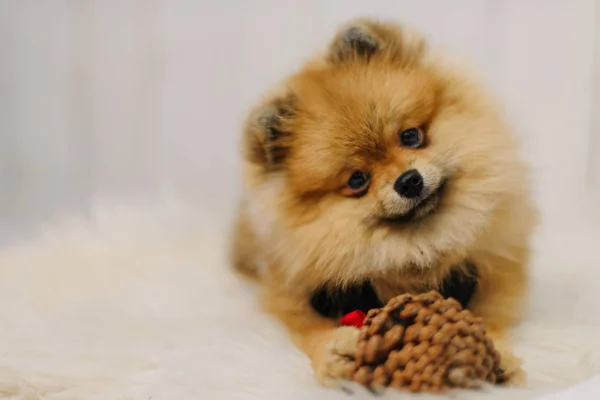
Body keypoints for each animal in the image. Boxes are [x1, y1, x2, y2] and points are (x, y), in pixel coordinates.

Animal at [232, 19, 536, 388]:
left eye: (411, 136)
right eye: (357, 180)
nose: (408, 181)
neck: (416, 247)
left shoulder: (495, 271)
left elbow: (490, 312)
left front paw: (496, 354)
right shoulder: (294, 297)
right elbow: (309, 327)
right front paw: (335, 352)